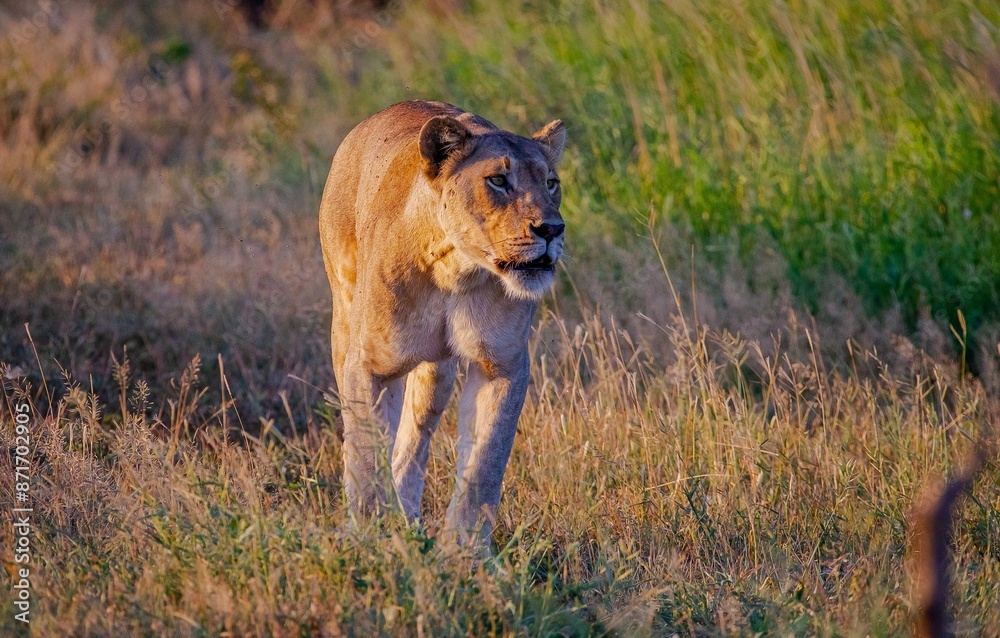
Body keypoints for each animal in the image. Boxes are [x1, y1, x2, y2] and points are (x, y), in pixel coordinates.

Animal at [318, 100, 566, 544]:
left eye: (551, 183)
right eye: (498, 180)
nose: (552, 228)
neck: (457, 272)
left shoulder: (502, 366)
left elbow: (484, 466)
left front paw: (466, 551)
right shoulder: (366, 366)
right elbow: (366, 455)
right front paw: (370, 536)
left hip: (437, 372)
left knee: (414, 440)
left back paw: (409, 519)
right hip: (343, 324)